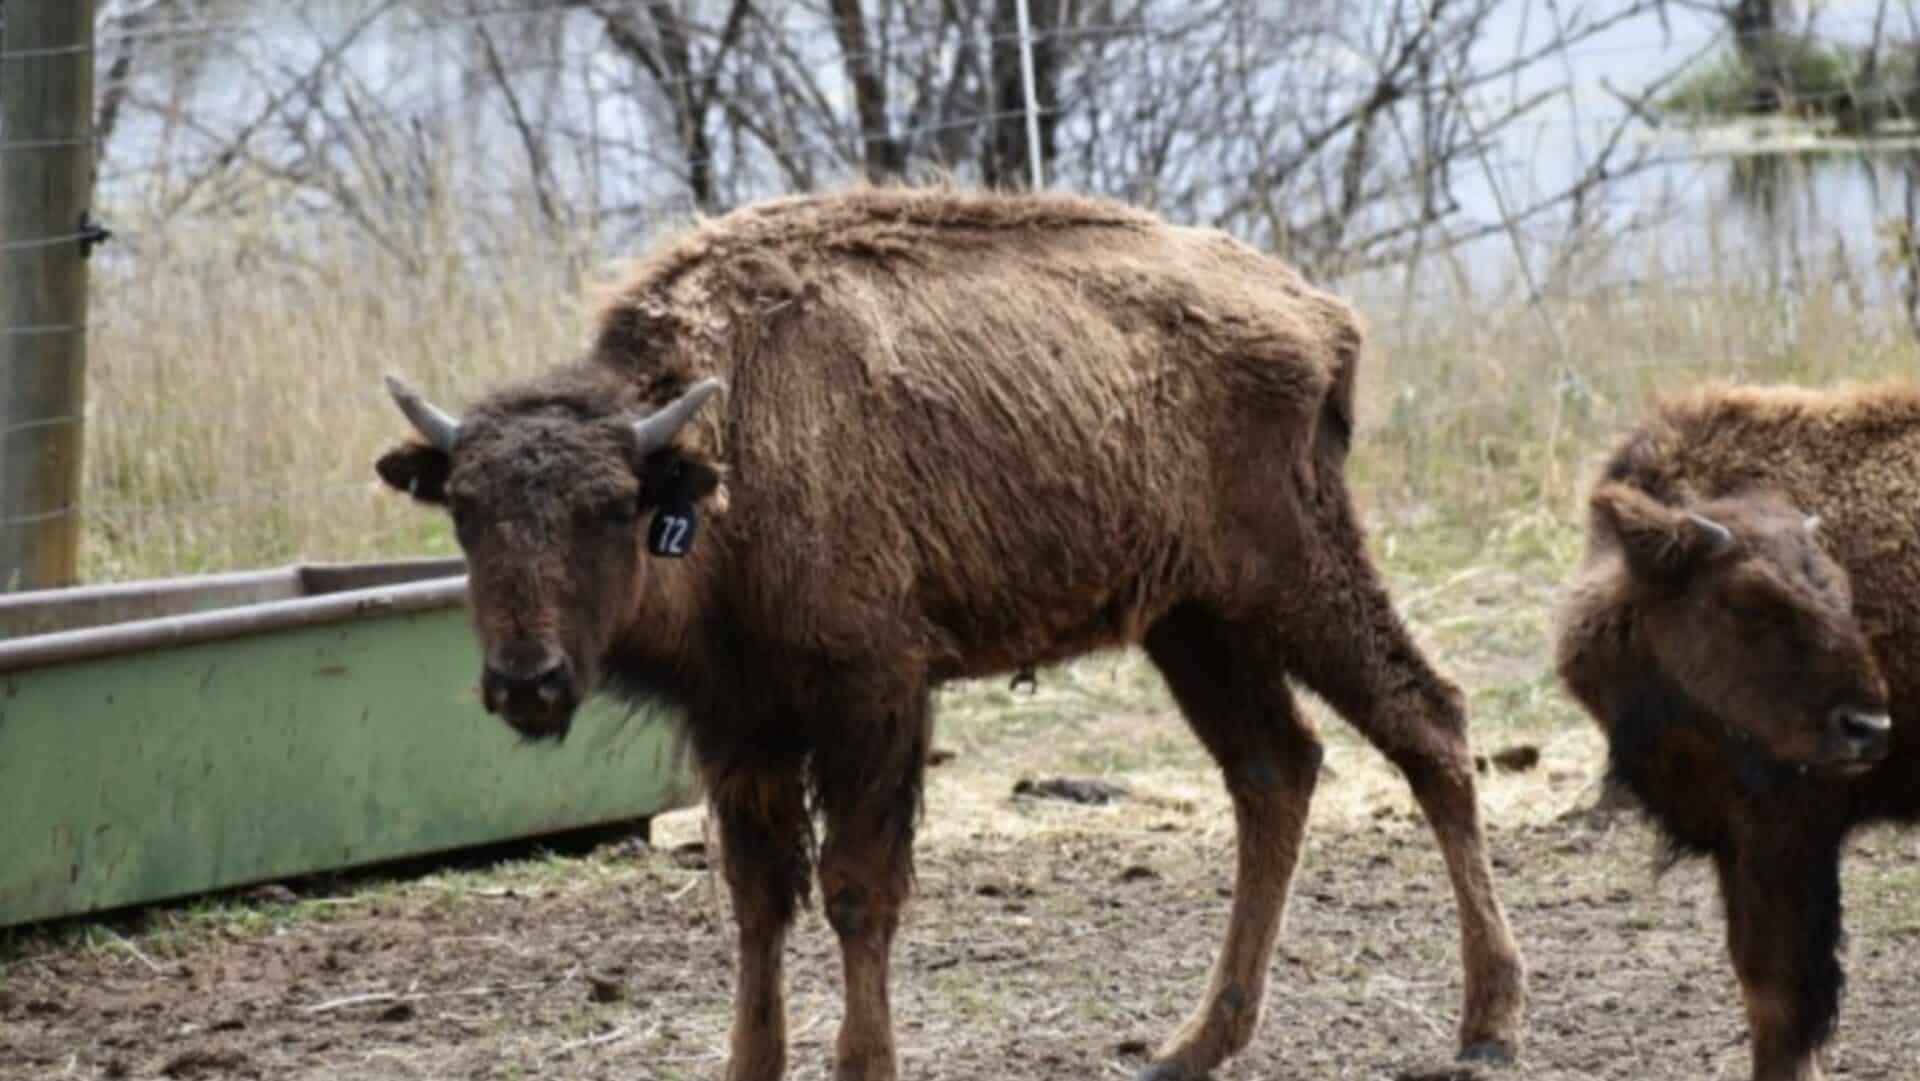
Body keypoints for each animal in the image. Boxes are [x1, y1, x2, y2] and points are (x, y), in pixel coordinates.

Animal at [376, 187, 1525, 1081]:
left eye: (612, 506)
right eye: (465, 509)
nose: (526, 680)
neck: (724, 451)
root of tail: (1319, 314)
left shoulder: (874, 697)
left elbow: (857, 888)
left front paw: (864, 1061)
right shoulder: (742, 725)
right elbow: (758, 897)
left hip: (1295, 579)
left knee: (1427, 722)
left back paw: (1488, 1023)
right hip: (1197, 624)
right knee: (1275, 769)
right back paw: (1195, 1042)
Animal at [1555, 381, 1918, 1081]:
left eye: (1841, 590)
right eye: (1751, 600)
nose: (1867, 727)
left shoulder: (1786, 830)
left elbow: (1782, 996)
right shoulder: (1735, 836)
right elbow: (1758, 982)